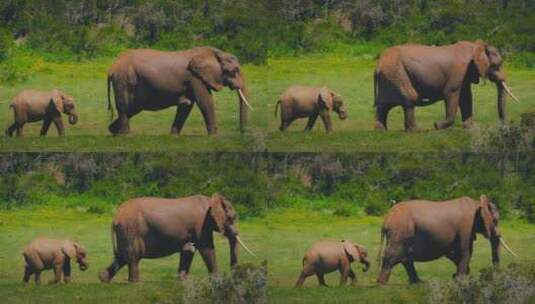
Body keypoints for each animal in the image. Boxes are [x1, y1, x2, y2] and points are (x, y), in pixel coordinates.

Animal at [99, 194, 256, 284]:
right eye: (232, 218)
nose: (236, 276)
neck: (211, 200)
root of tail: (116, 216)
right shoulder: (202, 224)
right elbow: (207, 248)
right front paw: (217, 280)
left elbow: (189, 249)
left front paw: (183, 280)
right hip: (131, 230)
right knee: (133, 257)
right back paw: (135, 283)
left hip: (125, 232)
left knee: (122, 257)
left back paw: (103, 279)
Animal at [108, 46, 254, 135]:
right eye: (235, 71)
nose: (242, 133)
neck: (215, 52)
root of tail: (112, 67)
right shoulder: (195, 78)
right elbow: (205, 102)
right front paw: (214, 136)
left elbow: (187, 105)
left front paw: (173, 136)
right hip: (123, 80)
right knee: (124, 105)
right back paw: (125, 135)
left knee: (132, 108)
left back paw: (113, 132)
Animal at [372, 40, 520, 131]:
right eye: (496, 65)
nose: (503, 126)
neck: (476, 46)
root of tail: (378, 65)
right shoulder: (459, 71)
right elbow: (452, 93)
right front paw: (437, 126)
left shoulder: (465, 74)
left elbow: (466, 97)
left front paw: (470, 127)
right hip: (397, 73)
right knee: (410, 97)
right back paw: (417, 131)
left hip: (390, 76)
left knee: (383, 105)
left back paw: (381, 131)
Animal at [376, 195, 520, 284]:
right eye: (495, 221)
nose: (495, 273)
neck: (477, 203)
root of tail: (386, 219)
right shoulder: (466, 227)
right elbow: (466, 251)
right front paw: (461, 279)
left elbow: (453, 253)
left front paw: (457, 277)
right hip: (399, 232)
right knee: (393, 256)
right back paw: (381, 284)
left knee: (405, 258)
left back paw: (418, 283)